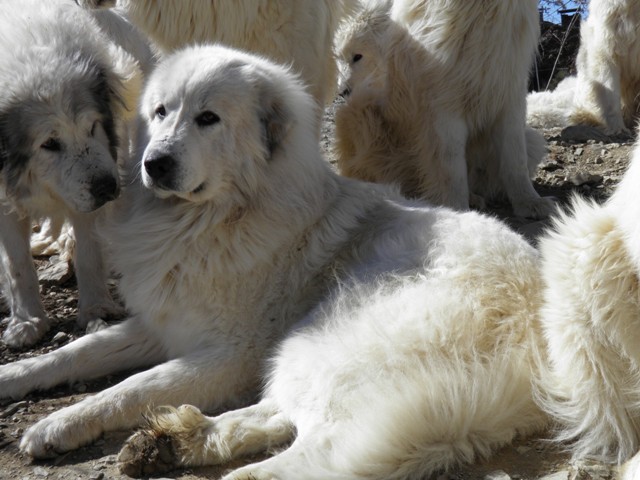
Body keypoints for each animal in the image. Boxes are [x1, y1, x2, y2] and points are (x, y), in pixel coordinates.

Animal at [0, 0, 147, 346]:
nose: (108, 187)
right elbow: (16, 264)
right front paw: (27, 322)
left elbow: (89, 251)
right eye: (49, 144)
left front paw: (96, 309)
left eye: (92, 127)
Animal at [0, 45, 552, 476]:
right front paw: (18, 379)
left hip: (322, 340)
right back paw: (176, 440)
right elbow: (78, 352)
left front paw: (55, 422)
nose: (154, 164)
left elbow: (132, 386)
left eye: (207, 118)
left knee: (320, 444)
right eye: (159, 112)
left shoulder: (230, 356)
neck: (215, 219)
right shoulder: (164, 324)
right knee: (281, 411)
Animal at [332, 0, 552, 218]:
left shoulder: (509, 92)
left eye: (357, 57)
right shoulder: (442, 102)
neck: (476, 12)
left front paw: (530, 203)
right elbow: (450, 167)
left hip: (532, 139)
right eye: (340, 59)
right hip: (362, 117)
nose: (341, 91)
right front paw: (457, 211)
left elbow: (515, 160)